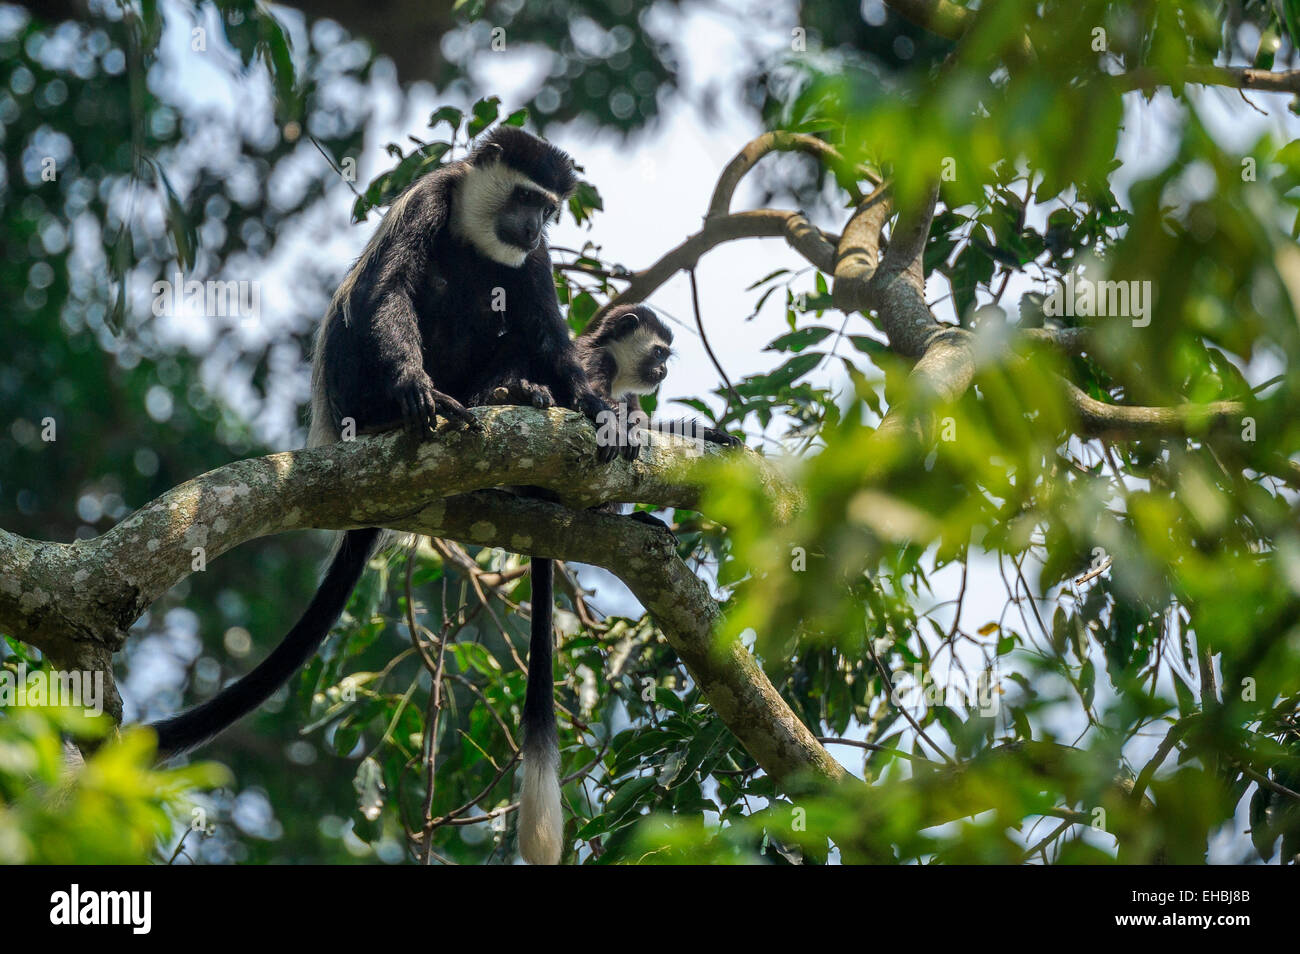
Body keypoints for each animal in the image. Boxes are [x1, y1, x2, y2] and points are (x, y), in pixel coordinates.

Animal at [147, 125, 634, 779]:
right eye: (527, 198)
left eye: (549, 210)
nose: (535, 227)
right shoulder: (428, 201)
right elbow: (390, 289)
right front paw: (414, 386)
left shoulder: (535, 262)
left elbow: (549, 337)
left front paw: (594, 409)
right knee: (388, 295)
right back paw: (400, 411)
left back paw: (510, 393)